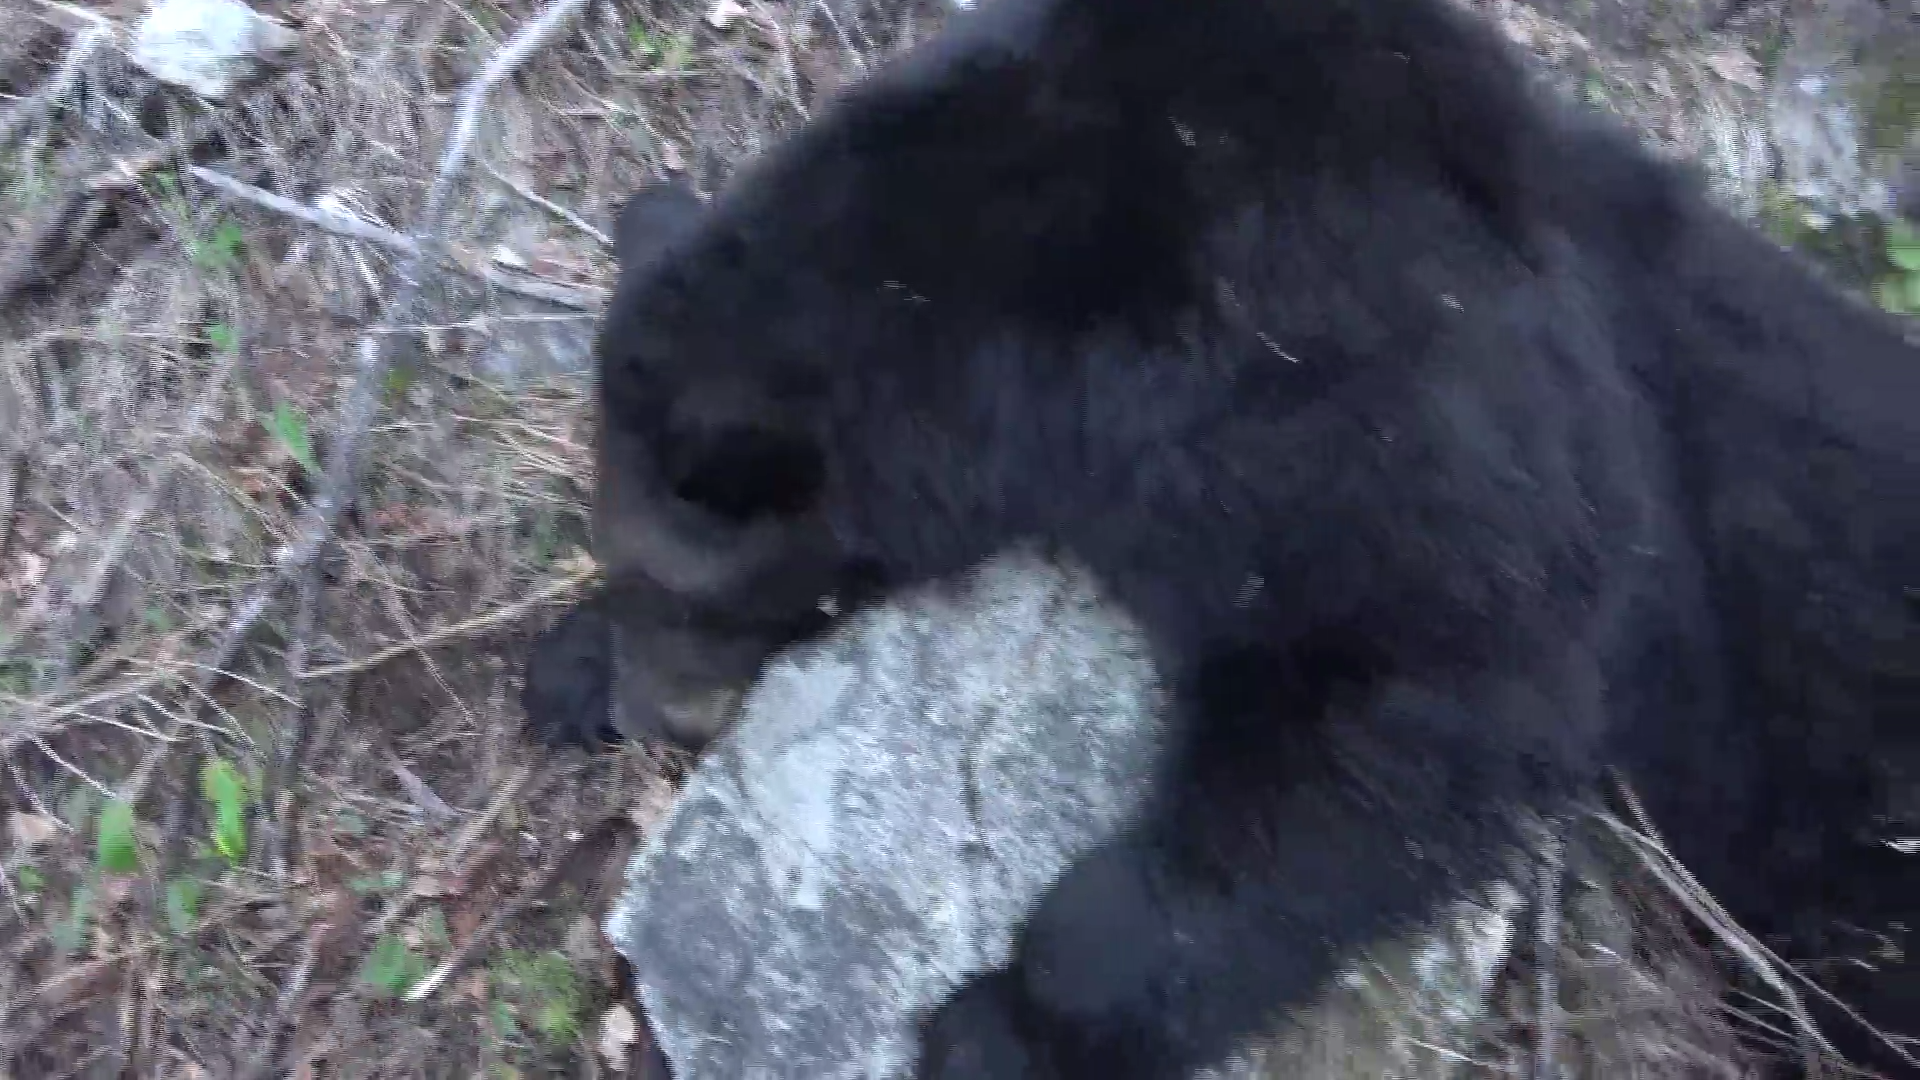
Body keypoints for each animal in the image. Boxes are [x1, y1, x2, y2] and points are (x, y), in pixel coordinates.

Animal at [520, 0, 1920, 1074]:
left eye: (694, 594)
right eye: (631, 569)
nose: (653, 710)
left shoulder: (1344, 347)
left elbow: (1434, 668)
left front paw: (1002, 1018)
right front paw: (565, 666)